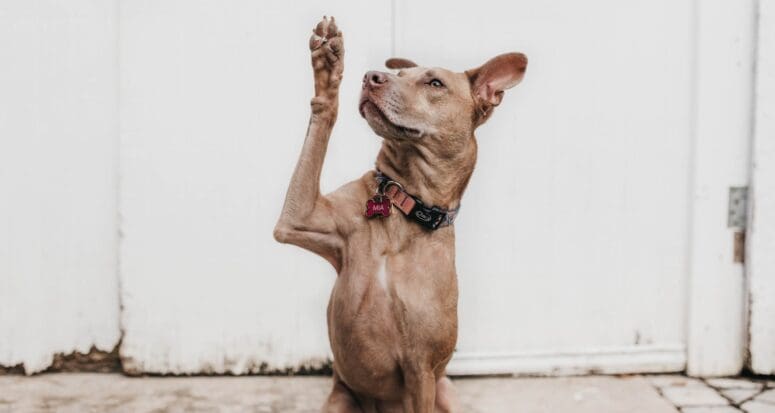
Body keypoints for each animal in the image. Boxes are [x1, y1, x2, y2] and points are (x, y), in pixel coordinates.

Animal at [274, 16, 528, 412]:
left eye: (434, 82)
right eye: (401, 73)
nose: (371, 76)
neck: (402, 203)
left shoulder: (421, 371)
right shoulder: (298, 218)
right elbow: (321, 119)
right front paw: (328, 69)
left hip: (445, 390)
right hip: (340, 399)